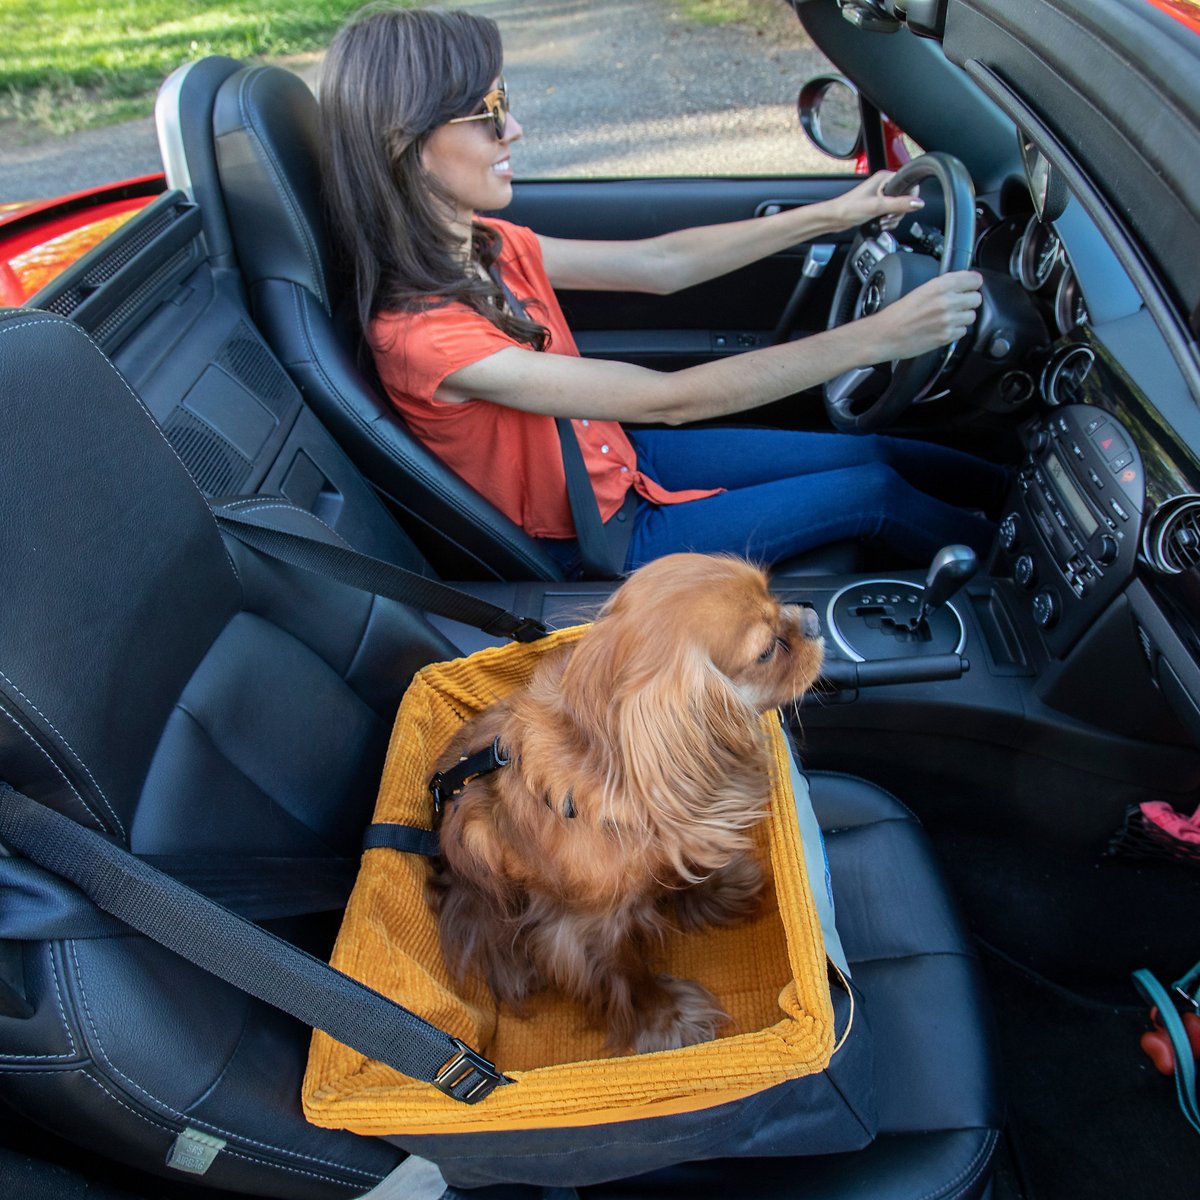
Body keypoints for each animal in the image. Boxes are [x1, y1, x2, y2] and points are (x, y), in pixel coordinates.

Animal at [424, 549, 825, 1051]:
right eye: (767, 651)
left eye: (776, 597)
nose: (812, 618)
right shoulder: (585, 932)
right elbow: (627, 973)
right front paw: (667, 1018)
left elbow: (679, 867)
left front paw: (714, 891)